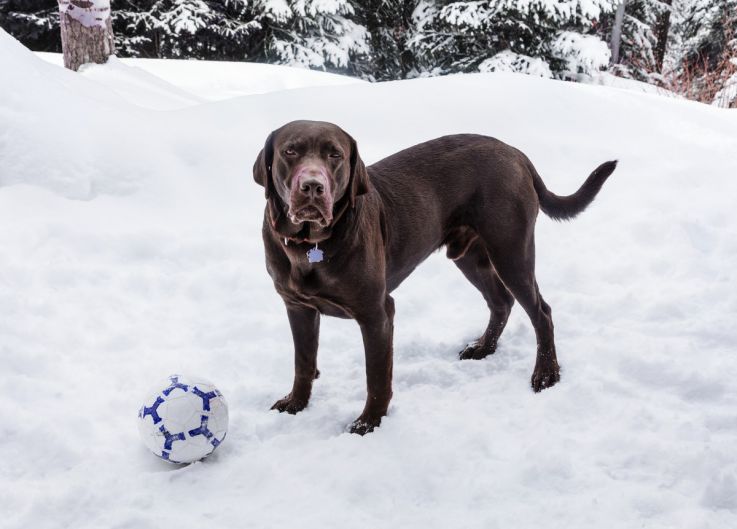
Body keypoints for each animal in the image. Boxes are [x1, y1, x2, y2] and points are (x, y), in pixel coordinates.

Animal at [254, 119, 616, 434]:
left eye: (335, 155)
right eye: (290, 151)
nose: (312, 186)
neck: (309, 247)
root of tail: (515, 152)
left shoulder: (377, 313)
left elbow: (377, 377)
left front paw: (368, 423)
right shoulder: (297, 307)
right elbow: (303, 362)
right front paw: (296, 403)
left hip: (511, 251)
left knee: (541, 312)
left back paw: (545, 374)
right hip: (471, 256)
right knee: (501, 301)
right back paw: (483, 347)